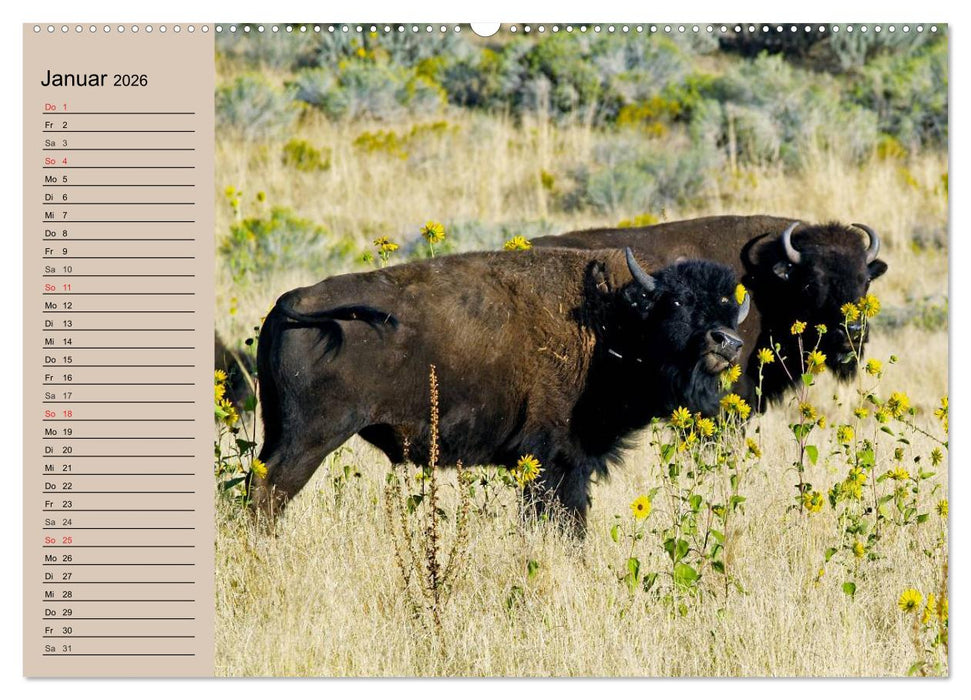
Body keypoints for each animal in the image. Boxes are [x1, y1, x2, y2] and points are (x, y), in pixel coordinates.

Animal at [252, 248, 749, 529]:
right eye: (679, 301)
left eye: (729, 307)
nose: (727, 341)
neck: (612, 318)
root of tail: (290, 301)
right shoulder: (554, 459)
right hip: (311, 438)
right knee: (269, 491)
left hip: (279, 429)